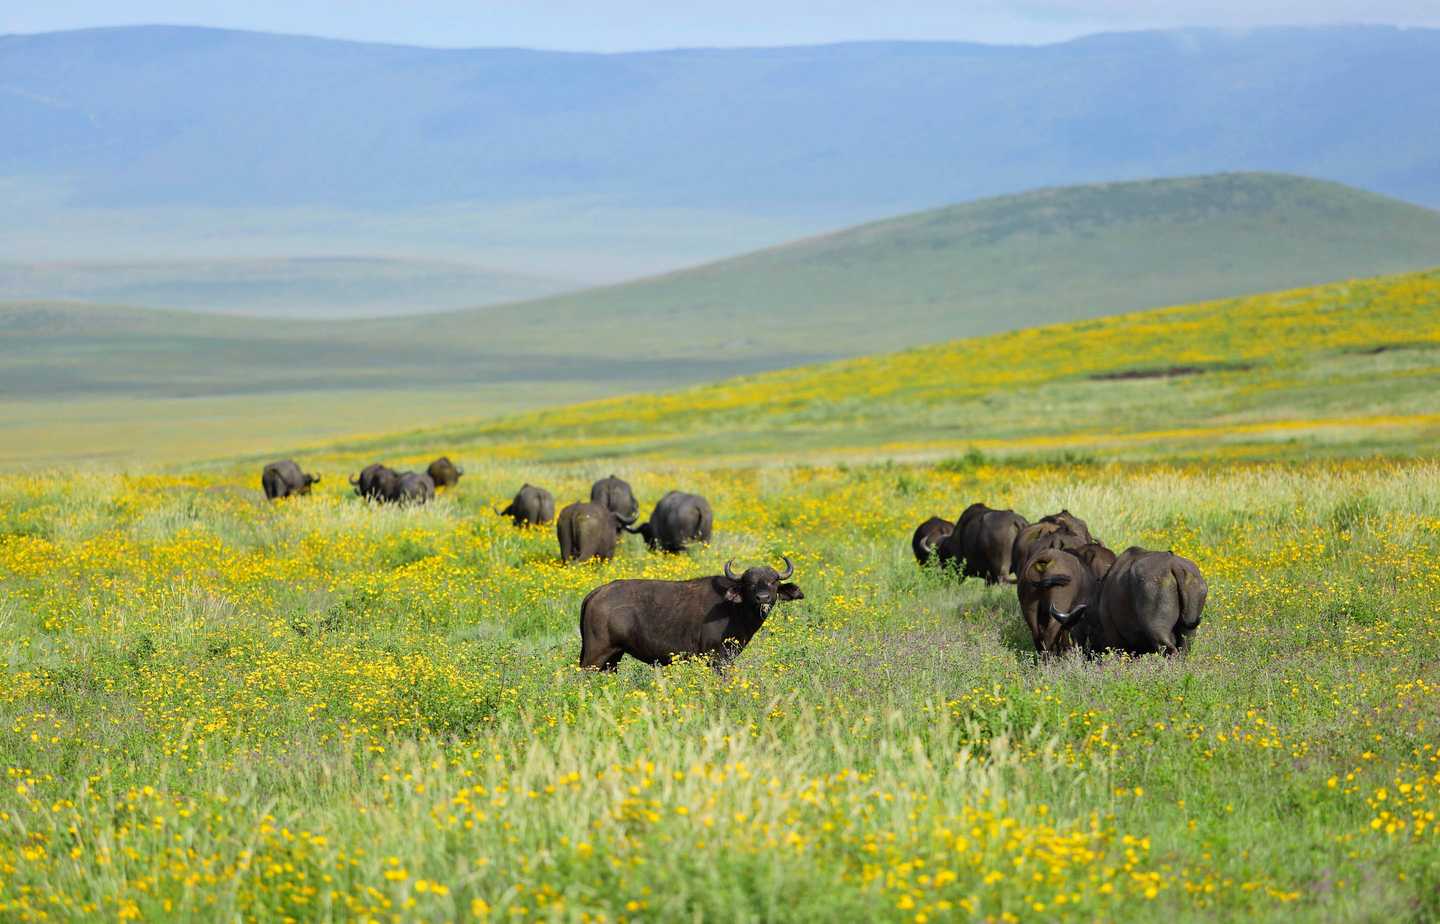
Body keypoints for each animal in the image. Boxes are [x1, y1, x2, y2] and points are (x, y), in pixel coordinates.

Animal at [579, 557, 803, 671]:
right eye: (750, 583)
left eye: (773, 582)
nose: (762, 598)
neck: (734, 609)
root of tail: (596, 593)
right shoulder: (718, 659)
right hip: (594, 655)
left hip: (613, 656)